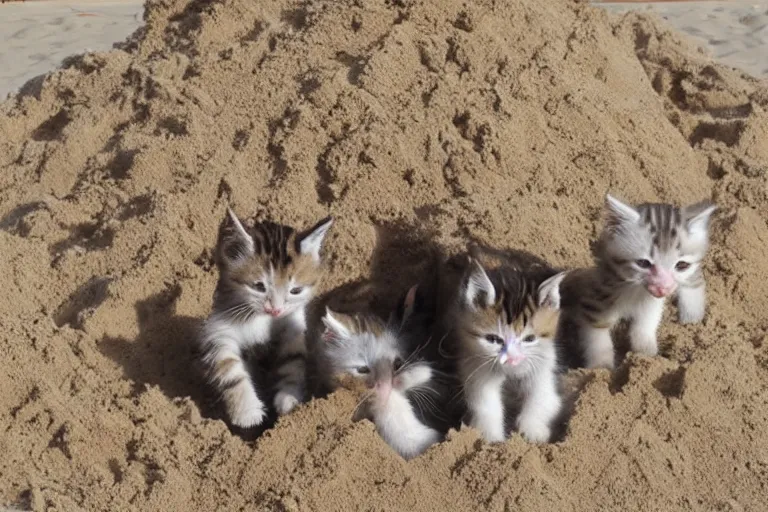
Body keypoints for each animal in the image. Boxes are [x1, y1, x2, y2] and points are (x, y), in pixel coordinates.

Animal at [196, 207, 332, 428]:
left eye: (295, 290)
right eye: (258, 286)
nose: (275, 310)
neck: (258, 318)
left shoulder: (294, 324)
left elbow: (293, 359)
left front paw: (288, 399)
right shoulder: (217, 330)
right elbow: (230, 369)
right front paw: (247, 412)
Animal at [438, 249, 564, 444]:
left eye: (529, 339)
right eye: (493, 339)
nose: (513, 359)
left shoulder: (544, 362)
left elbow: (545, 398)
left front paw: (533, 429)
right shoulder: (475, 365)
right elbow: (486, 406)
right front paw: (494, 440)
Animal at [556, 195, 716, 368]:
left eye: (681, 265)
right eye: (643, 263)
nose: (663, 288)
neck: (635, 290)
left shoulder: (653, 300)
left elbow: (646, 322)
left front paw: (646, 352)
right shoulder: (596, 298)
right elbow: (597, 336)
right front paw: (601, 367)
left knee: (694, 280)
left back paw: (691, 317)